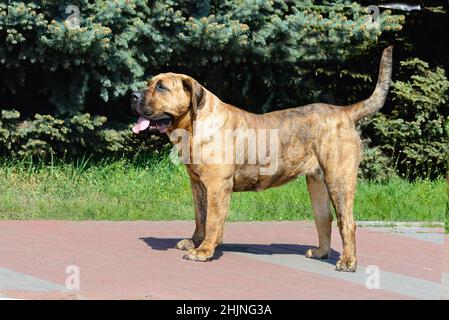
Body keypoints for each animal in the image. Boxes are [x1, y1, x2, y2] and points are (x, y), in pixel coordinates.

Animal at [130, 47, 392, 272]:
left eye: (161, 87)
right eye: (149, 84)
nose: (133, 95)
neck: (194, 125)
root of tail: (345, 112)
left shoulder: (217, 186)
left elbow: (213, 220)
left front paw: (203, 251)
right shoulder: (197, 184)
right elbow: (200, 217)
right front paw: (195, 242)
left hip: (339, 179)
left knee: (346, 222)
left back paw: (348, 262)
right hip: (316, 182)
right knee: (324, 218)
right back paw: (320, 252)